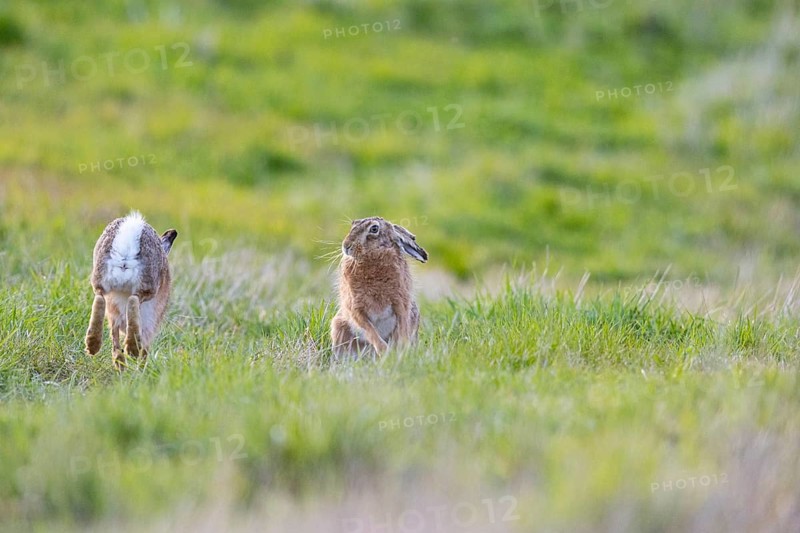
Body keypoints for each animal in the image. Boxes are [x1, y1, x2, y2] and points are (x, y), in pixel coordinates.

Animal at [84, 211, 177, 369]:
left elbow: (115, 344)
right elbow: (145, 351)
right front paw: (141, 369)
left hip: (101, 277)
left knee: (100, 298)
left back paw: (93, 344)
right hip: (148, 286)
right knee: (133, 301)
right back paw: (133, 349)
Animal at [331, 216, 428, 358]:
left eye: (374, 229)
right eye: (353, 224)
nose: (346, 246)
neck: (373, 257)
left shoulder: (401, 303)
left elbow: (402, 328)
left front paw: (398, 351)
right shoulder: (355, 308)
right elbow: (369, 330)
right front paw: (385, 351)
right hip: (339, 326)